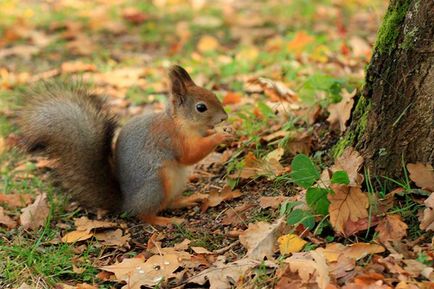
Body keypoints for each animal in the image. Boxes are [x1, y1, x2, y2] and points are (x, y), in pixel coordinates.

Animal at [19, 66, 231, 225]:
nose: (224, 117)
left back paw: (189, 199)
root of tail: (126, 204)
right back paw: (165, 221)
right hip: (156, 186)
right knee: (144, 214)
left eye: (213, 94)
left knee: (168, 204)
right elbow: (190, 155)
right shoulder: (171, 139)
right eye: (201, 107)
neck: (180, 122)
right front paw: (220, 135)